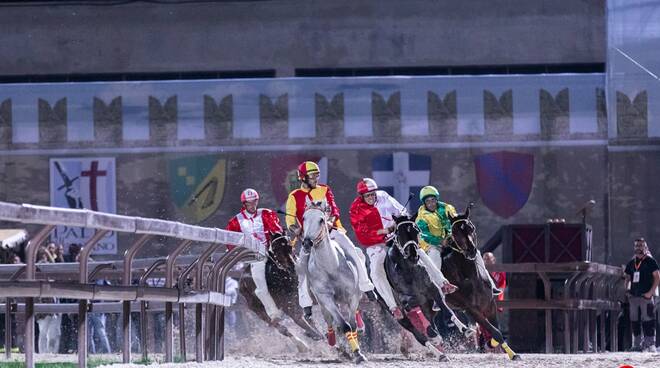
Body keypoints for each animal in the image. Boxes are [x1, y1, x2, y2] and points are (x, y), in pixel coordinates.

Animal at [302, 203, 368, 364]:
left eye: (321, 220)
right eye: (304, 218)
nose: (307, 243)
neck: (332, 267)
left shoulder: (352, 296)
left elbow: (352, 325)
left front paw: (358, 353)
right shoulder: (325, 297)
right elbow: (344, 326)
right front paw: (354, 352)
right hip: (323, 302)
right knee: (330, 321)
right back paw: (333, 340)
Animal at [378, 214, 472, 360]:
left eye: (416, 230)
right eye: (399, 233)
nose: (413, 254)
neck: (409, 269)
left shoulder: (432, 290)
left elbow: (447, 309)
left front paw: (465, 329)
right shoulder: (407, 301)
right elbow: (414, 311)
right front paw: (434, 336)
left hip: (426, 305)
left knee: (430, 319)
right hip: (398, 315)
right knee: (418, 334)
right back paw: (438, 351)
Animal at [444, 204, 520, 360]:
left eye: (471, 228)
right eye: (455, 231)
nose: (471, 251)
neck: (471, 278)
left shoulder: (489, 304)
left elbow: (496, 331)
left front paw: (506, 351)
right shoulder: (471, 308)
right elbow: (494, 331)